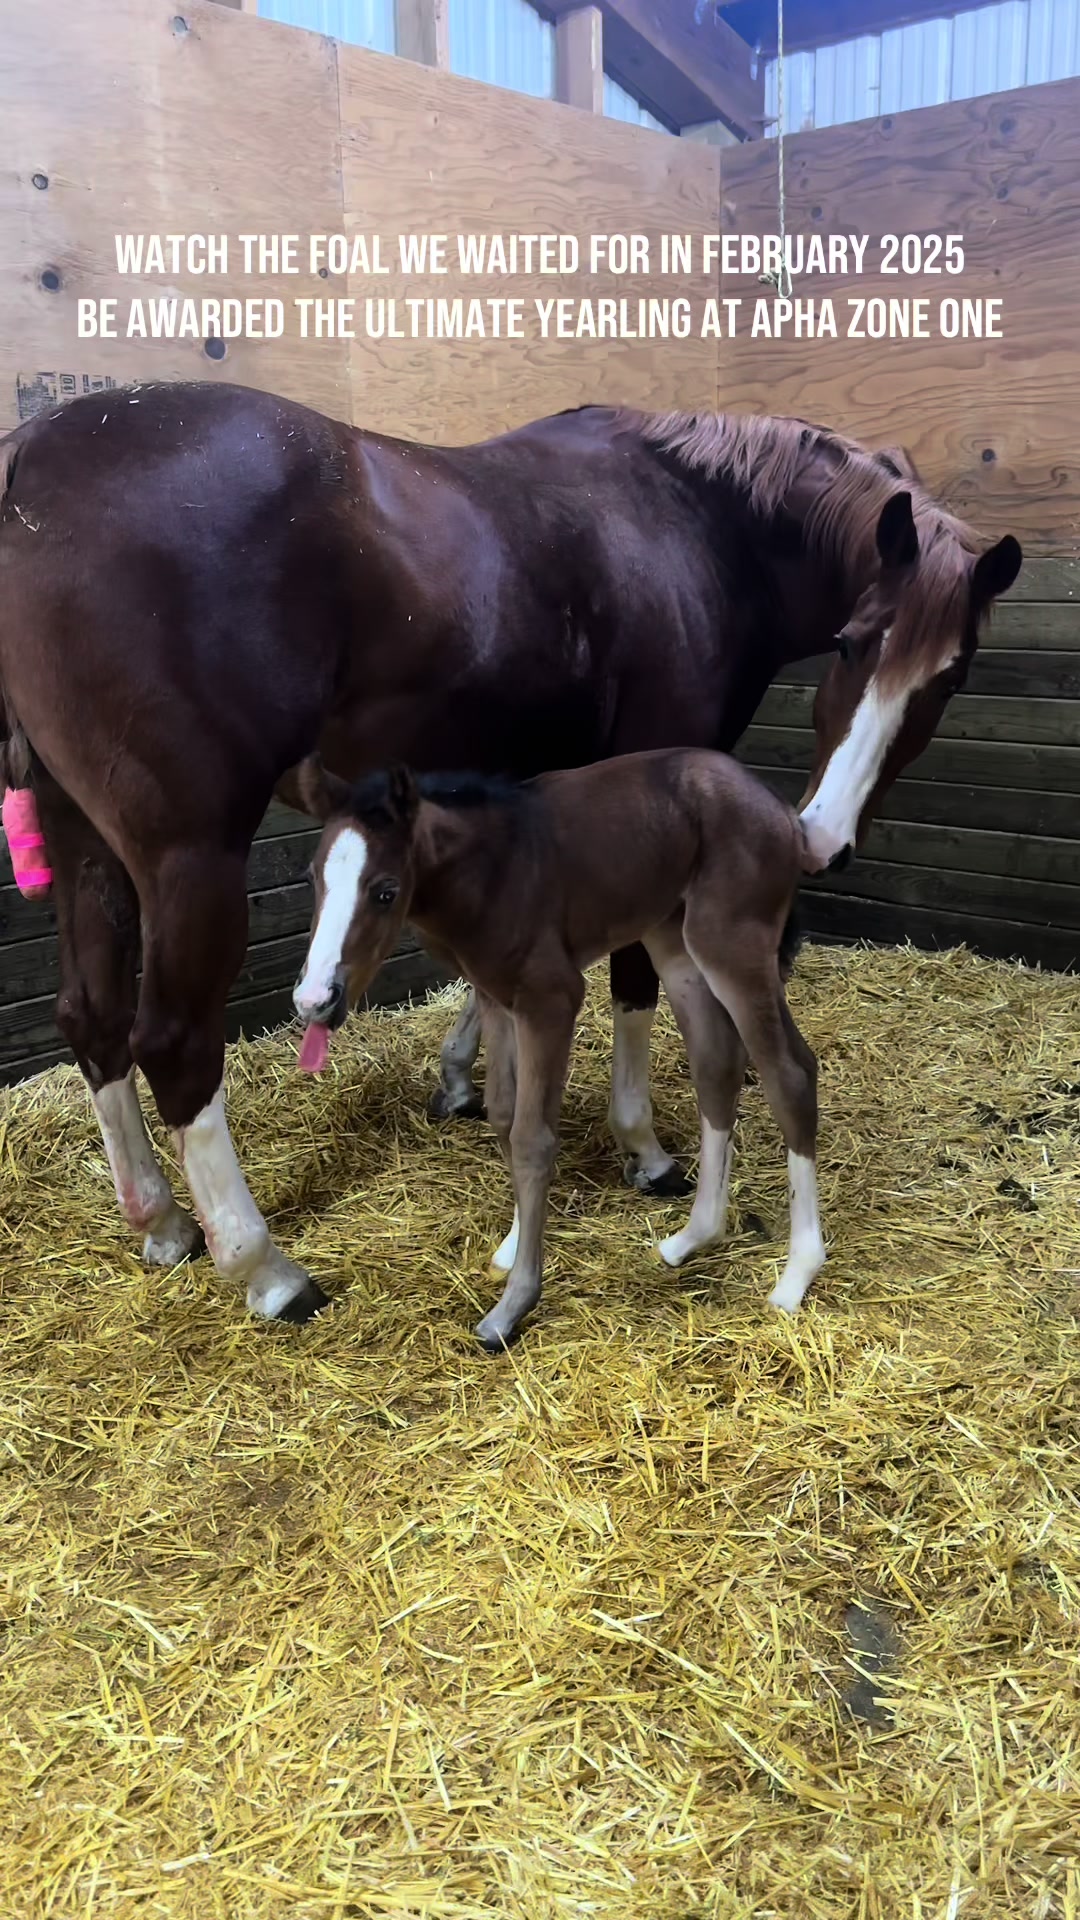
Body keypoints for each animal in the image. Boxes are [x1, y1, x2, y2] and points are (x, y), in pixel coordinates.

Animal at [292, 750, 818, 1350]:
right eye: (312, 877)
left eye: (384, 890)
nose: (313, 1001)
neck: (492, 872)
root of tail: (779, 808)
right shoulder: (498, 999)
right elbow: (504, 1115)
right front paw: (510, 1244)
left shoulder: (551, 999)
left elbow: (533, 1137)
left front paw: (513, 1305)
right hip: (676, 944)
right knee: (717, 1065)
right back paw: (692, 1237)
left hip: (733, 944)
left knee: (790, 1074)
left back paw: (796, 1276)